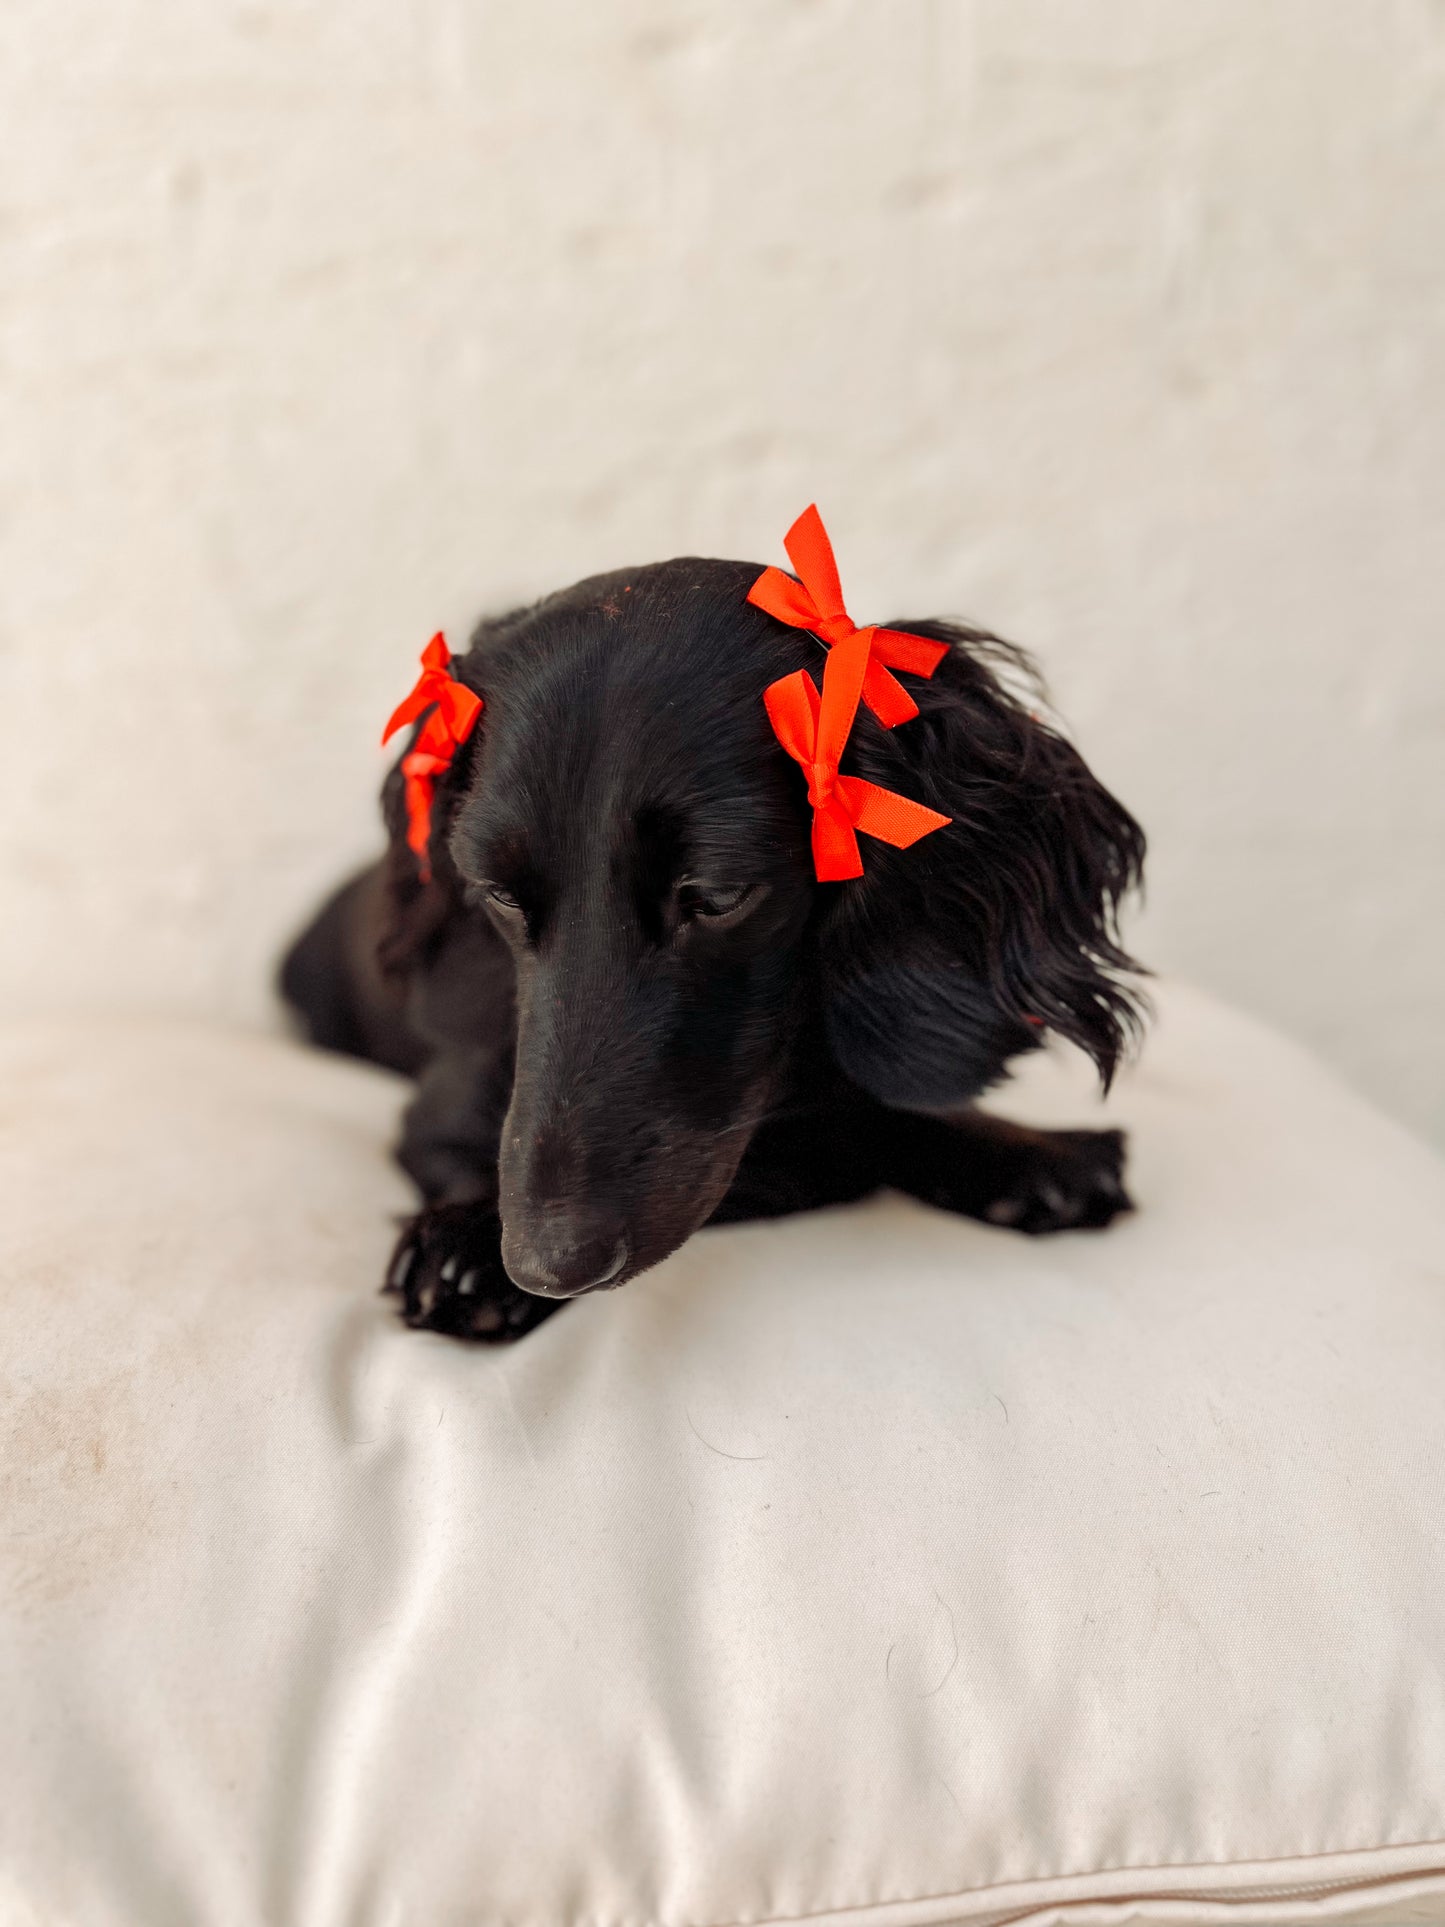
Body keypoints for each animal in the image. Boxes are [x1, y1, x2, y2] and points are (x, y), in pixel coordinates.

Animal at [279, 554, 1140, 1341]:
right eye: (497, 893)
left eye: (719, 897)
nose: (544, 1262)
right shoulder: (441, 1115)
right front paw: (464, 1242)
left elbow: (880, 1110)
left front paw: (1029, 1150)